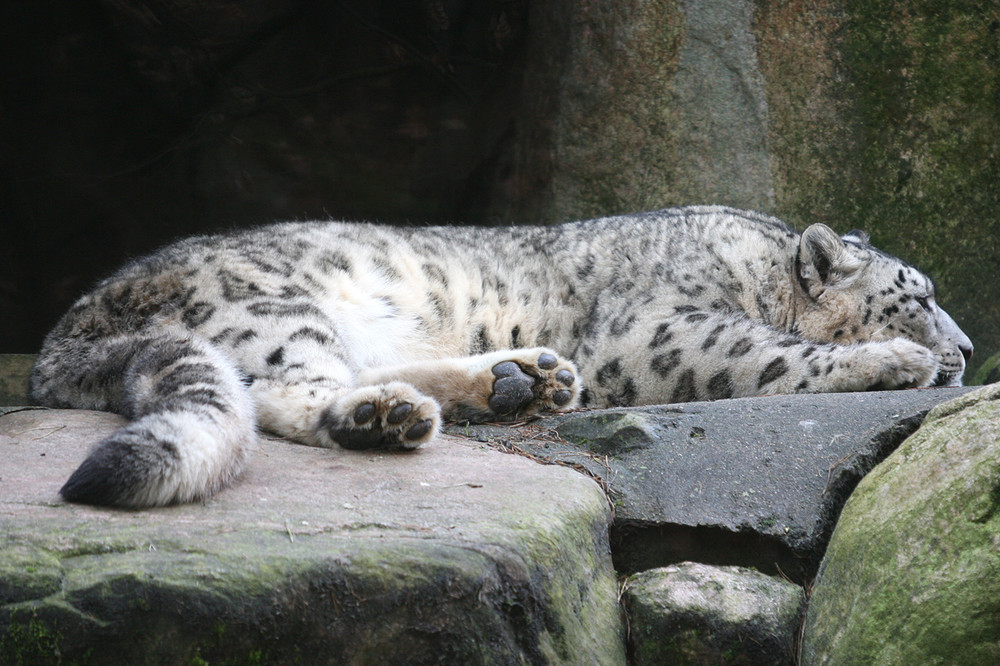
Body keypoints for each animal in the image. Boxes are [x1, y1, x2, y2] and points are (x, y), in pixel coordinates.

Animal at [27, 202, 972, 504]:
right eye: (920, 294)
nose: (967, 347)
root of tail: (63, 333)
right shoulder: (659, 327)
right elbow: (770, 354)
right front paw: (894, 360)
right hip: (273, 311)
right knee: (286, 395)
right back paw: (386, 418)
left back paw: (521, 380)